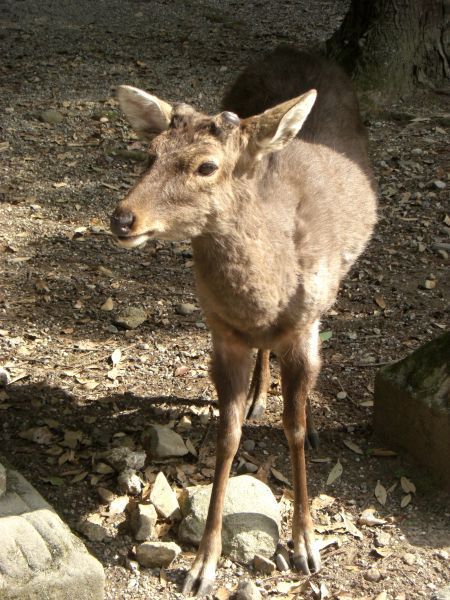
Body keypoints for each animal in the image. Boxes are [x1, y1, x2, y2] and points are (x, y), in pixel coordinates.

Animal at [110, 47, 376, 596]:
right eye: (150, 153)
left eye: (206, 165)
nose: (122, 218)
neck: (268, 296)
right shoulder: (222, 333)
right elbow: (227, 436)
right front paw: (202, 565)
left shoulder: (304, 329)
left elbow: (293, 427)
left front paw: (306, 545)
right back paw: (258, 395)